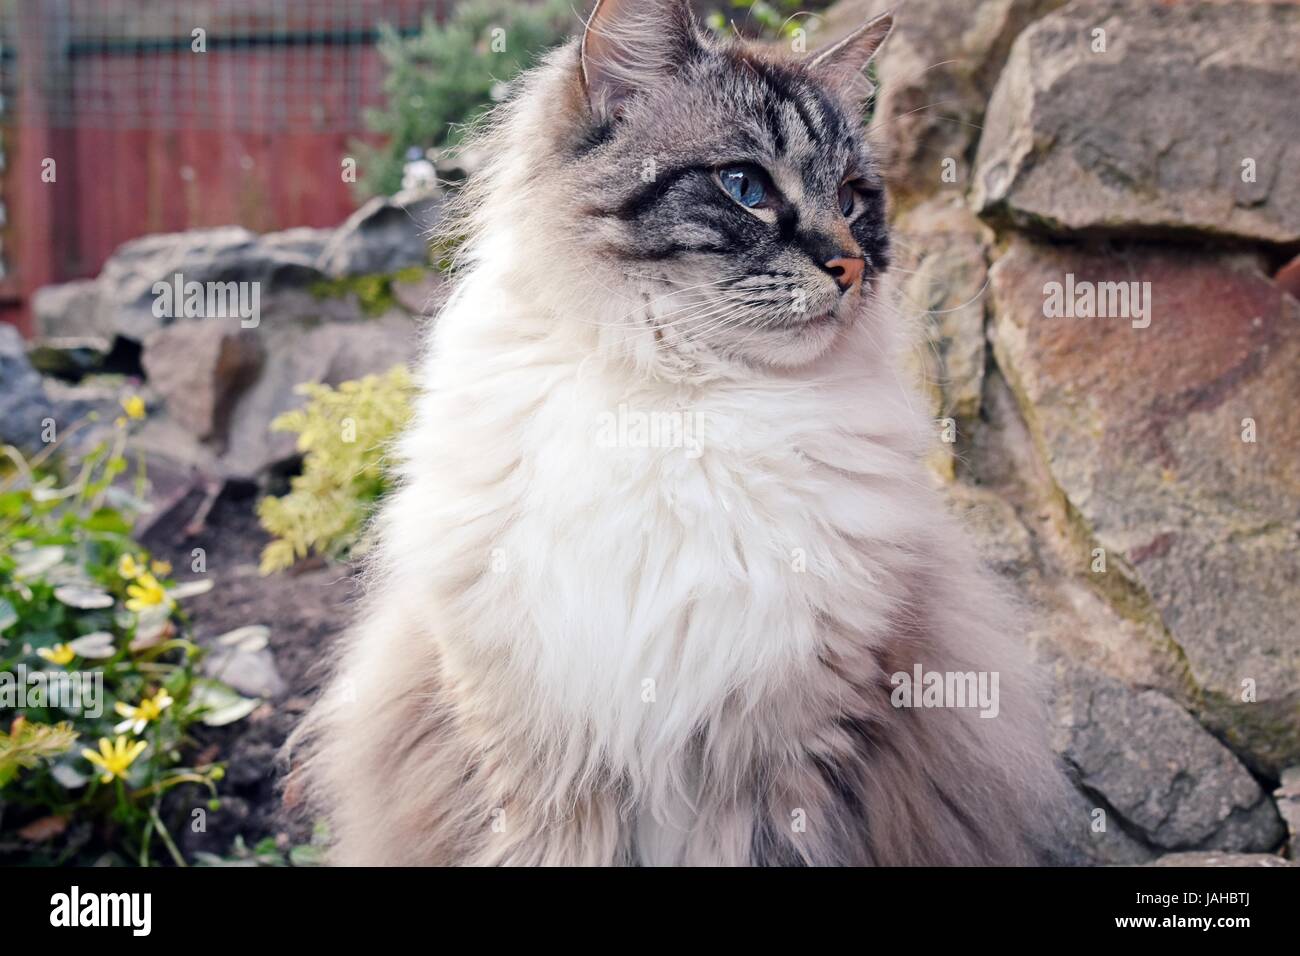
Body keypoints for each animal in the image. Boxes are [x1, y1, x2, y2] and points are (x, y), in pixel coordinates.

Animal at [289, 0, 1071, 868]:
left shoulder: (784, 753)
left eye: (853, 197)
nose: (853, 267)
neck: (683, 400)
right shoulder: (540, 757)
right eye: (745, 187)